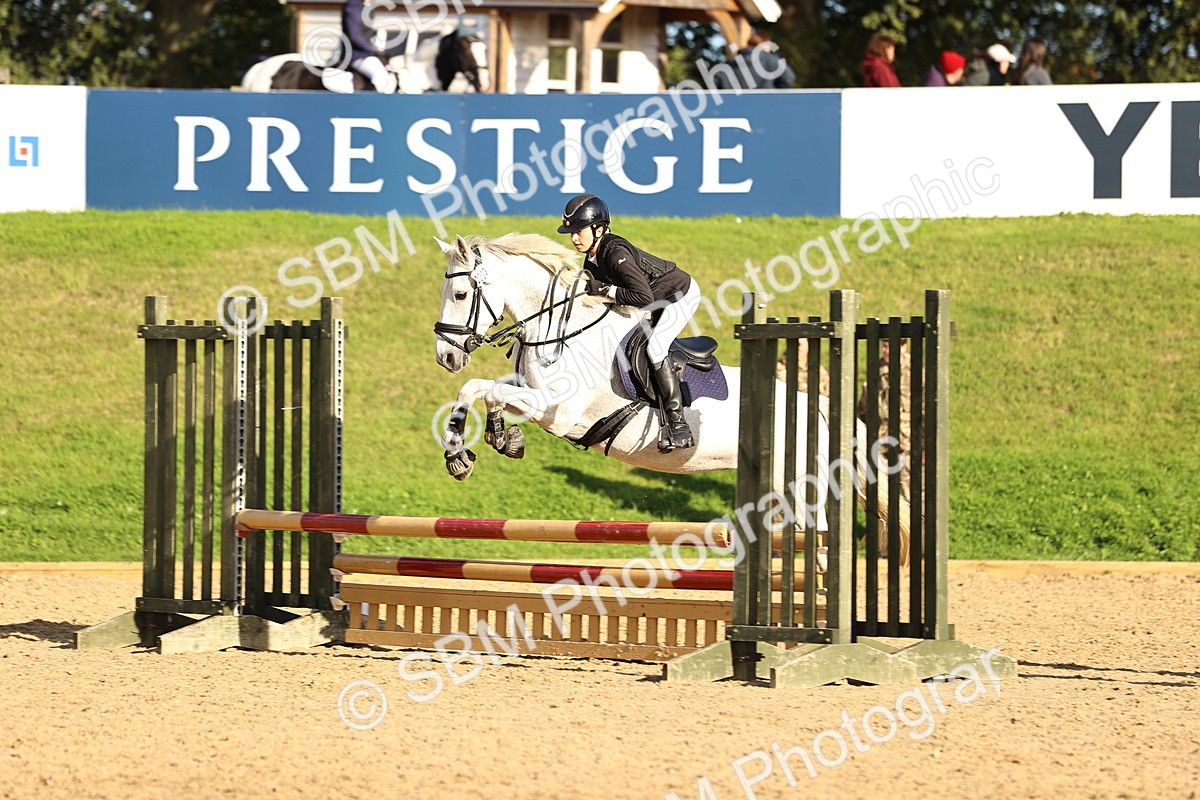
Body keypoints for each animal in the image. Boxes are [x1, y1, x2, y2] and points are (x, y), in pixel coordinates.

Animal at [432, 233, 911, 561]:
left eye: (460, 293)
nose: (445, 356)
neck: (557, 329)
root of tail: (821, 407)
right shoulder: (532, 396)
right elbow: (484, 392)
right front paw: (495, 442)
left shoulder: (557, 412)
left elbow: (481, 388)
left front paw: (461, 453)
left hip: (796, 485)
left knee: (820, 541)